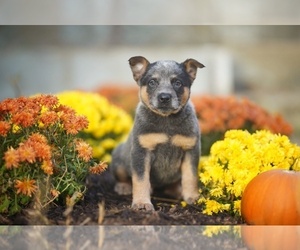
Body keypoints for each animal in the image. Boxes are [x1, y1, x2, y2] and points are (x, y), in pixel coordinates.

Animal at [109, 56, 205, 211]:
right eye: (152, 82)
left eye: (177, 82)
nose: (164, 97)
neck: (166, 121)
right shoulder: (142, 151)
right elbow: (140, 179)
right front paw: (142, 202)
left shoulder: (190, 149)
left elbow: (190, 177)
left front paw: (193, 197)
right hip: (119, 160)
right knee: (123, 177)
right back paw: (123, 187)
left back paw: (176, 190)